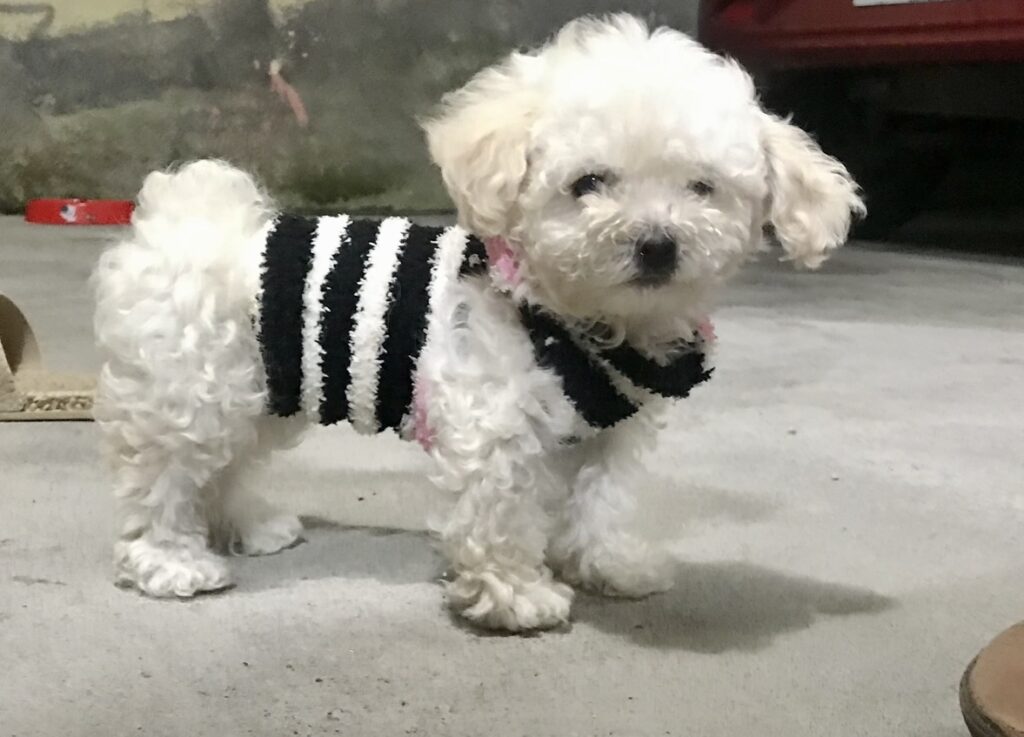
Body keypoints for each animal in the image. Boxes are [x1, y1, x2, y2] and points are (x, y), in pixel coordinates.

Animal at [93, 14, 864, 631]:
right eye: (588, 183)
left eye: (702, 188)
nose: (656, 244)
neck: (580, 319)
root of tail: (187, 217)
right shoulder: (496, 423)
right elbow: (501, 514)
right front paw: (514, 595)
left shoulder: (610, 432)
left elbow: (601, 498)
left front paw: (604, 563)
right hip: (193, 394)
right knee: (165, 479)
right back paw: (170, 558)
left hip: (259, 395)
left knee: (227, 466)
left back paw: (248, 526)